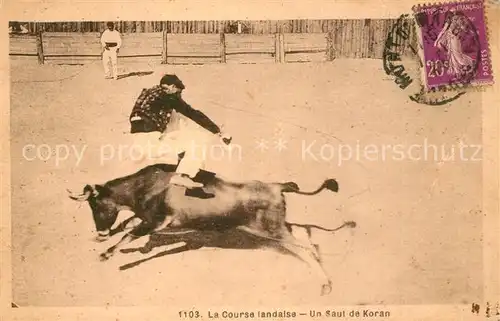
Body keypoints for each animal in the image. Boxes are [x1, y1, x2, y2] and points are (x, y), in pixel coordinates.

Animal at [68, 164, 354, 294]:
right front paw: (112, 246)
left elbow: (129, 232)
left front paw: (108, 254)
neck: (144, 187)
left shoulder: (159, 220)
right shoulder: (149, 219)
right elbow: (129, 227)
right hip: (274, 226)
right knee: (303, 235)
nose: (101, 232)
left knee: (307, 246)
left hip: (271, 230)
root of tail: (277, 186)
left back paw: (326, 282)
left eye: (96, 205)